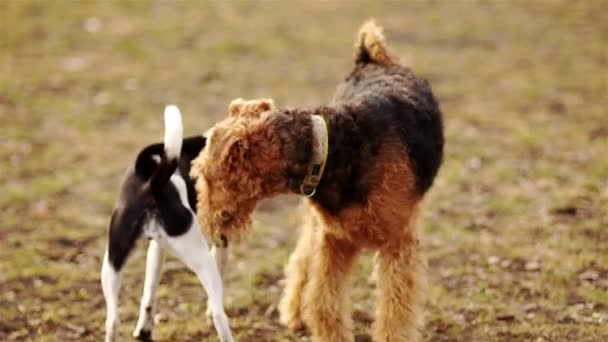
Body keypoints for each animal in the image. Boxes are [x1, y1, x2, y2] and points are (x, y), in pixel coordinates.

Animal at [100, 106, 233, 342]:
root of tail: (153, 184)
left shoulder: (157, 248)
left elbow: (149, 292)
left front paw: (144, 329)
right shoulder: (221, 242)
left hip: (111, 264)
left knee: (112, 320)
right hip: (203, 261)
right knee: (219, 313)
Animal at [192, 20, 444, 340]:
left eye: (203, 175)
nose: (209, 232)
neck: (336, 148)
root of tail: (372, 58)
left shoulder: (397, 243)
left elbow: (394, 313)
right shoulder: (334, 237)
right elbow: (324, 302)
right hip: (318, 227)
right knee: (301, 260)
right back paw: (293, 313)